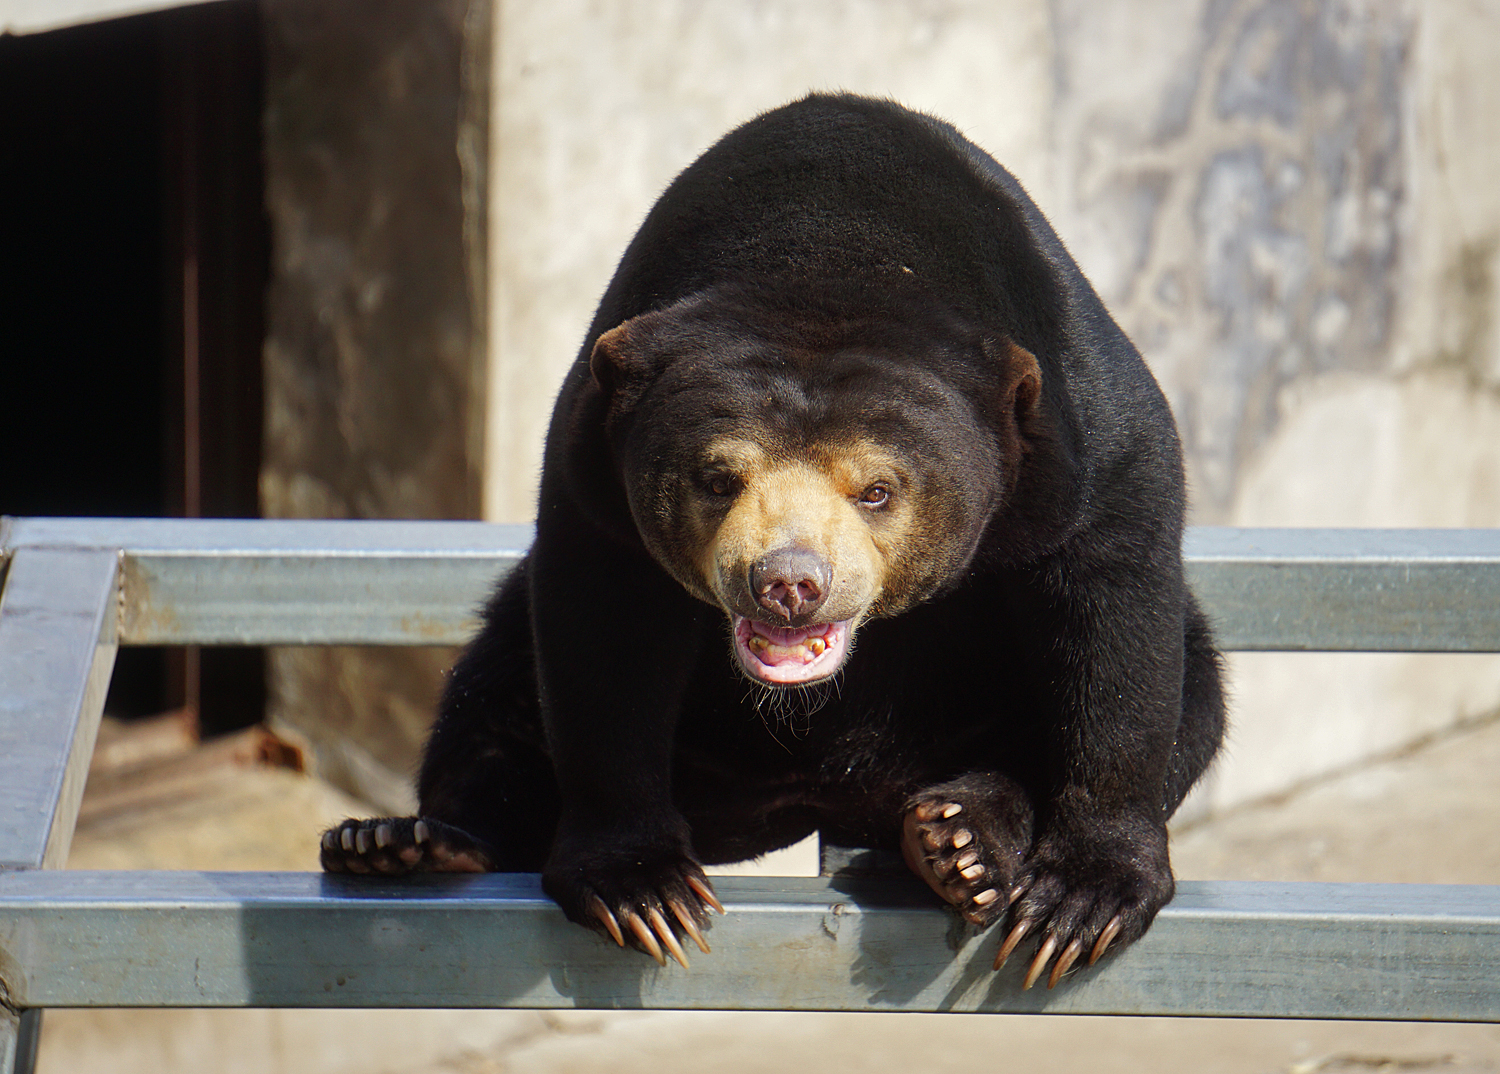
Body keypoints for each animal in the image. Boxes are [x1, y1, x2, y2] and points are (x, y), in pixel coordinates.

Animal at [321, 92, 1226, 990]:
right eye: (719, 478)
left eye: (877, 490)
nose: (789, 583)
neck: (837, 252)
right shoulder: (590, 461)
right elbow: (601, 636)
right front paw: (640, 889)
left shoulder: (1082, 440)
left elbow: (1117, 623)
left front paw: (1085, 900)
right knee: (495, 688)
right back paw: (404, 845)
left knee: (1193, 683)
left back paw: (959, 837)